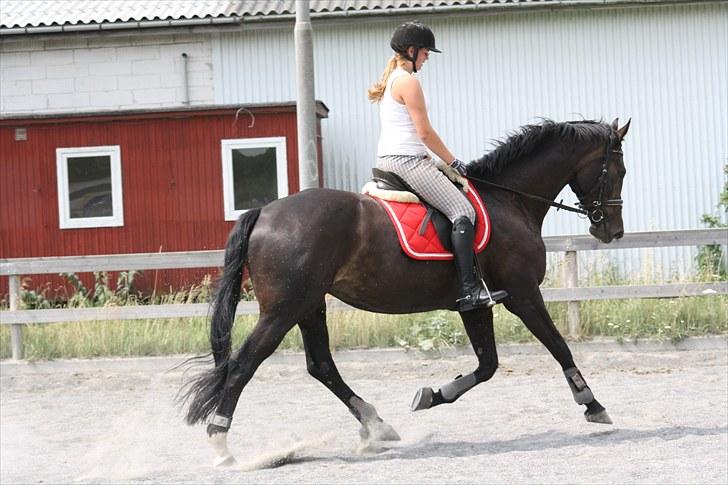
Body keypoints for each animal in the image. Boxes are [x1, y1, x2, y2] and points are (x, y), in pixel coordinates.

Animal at [181, 117, 632, 466]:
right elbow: (559, 347)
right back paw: (221, 446)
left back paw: (377, 425)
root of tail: (263, 212)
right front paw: (593, 405)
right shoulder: (523, 295)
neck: (510, 201)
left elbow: (487, 365)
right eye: (620, 171)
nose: (611, 231)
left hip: (309, 305)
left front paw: (429, 396)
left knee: (321, 365)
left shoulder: (474, 306)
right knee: (244, 365)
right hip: (283, 310)